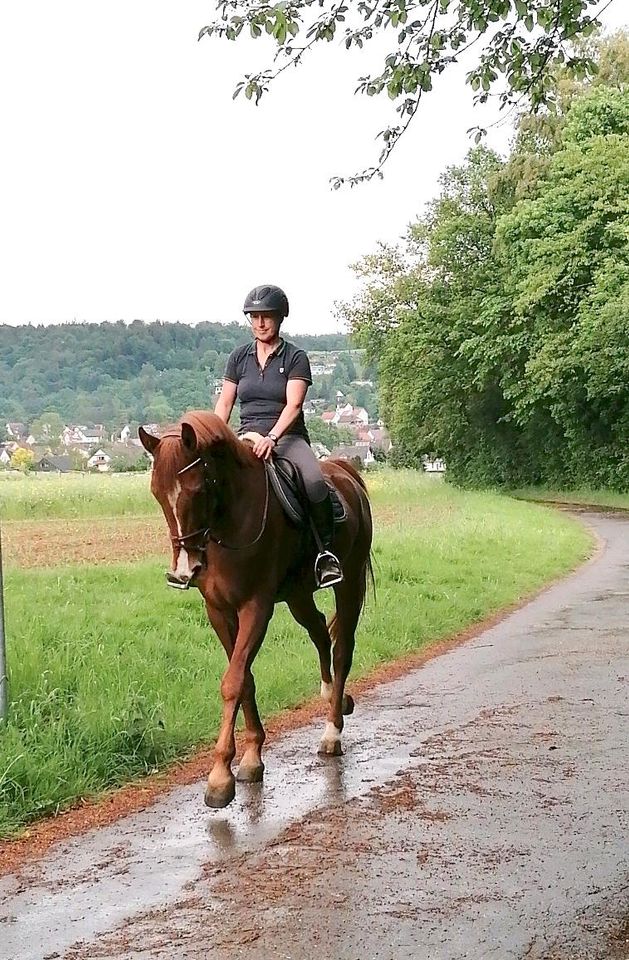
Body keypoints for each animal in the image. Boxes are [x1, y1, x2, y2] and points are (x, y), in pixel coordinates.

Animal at [140, 412, 370, 808]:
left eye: (196, 489)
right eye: (157, 493)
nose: (184, 570)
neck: (230, 521)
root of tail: (344, 472)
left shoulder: (255, 608)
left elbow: (233, 681)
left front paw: (220, 777)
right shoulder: (218, 611)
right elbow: (244, 679)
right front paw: (250, 758)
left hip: (349, 582)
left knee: (342, 649)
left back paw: (332, 732)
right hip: (297, 595)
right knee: (319, 630)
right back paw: (333, 697)